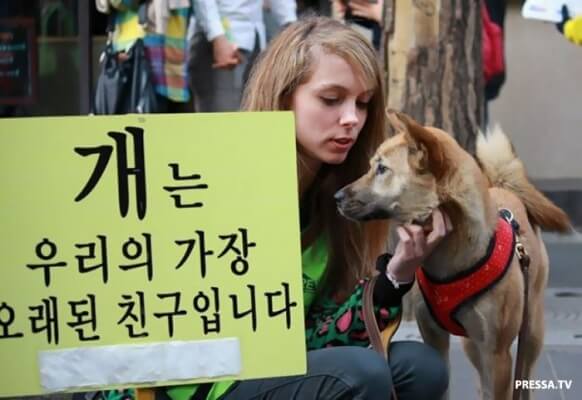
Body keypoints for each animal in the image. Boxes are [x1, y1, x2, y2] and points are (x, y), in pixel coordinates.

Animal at [338, 110, 572, 400]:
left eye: (382, 169)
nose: (336, 197)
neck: (449, 259)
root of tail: (504, 188)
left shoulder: (497, 353)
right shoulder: (435, 339)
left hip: (530, 332)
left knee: (523, 379)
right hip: (471, 344)